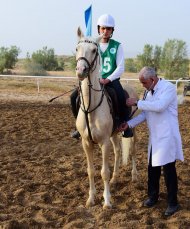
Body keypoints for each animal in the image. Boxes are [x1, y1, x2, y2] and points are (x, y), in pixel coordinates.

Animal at [75, 27, 138, 209]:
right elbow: (91, 171)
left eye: (93, 50)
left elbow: (104, 172)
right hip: (114, 134)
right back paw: (116, 179)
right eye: (77, 48)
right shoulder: (86, 143)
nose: (81, 71)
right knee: (118, 151)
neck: (91, 108)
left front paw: (107, 201)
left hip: (132, 129)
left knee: (132, 149)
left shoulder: (103, 143)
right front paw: (91, 198)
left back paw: (134, 175)